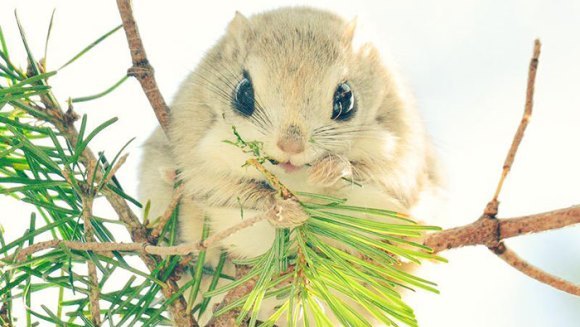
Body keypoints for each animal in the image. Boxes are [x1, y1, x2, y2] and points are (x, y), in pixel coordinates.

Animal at [139, 6, 444, 326]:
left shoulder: (402, 162)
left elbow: (370, 175)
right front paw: (286, 212)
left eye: (346, 98)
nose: (291, 147)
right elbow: (233, 192)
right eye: (243, 93)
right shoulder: (196, 161)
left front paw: (331, 170)